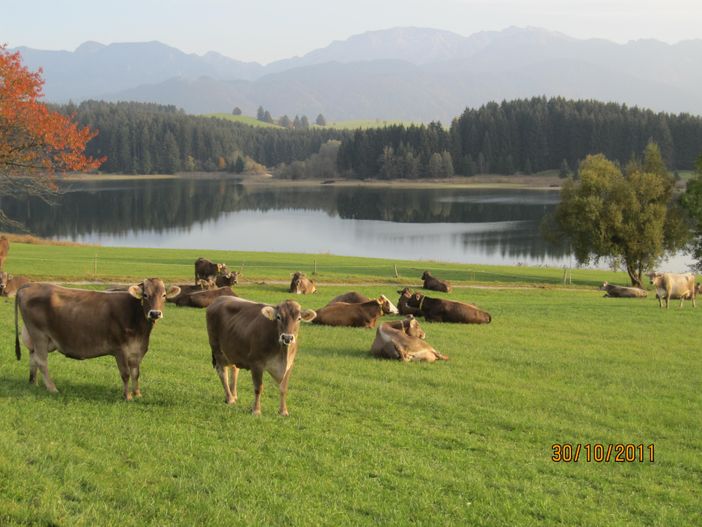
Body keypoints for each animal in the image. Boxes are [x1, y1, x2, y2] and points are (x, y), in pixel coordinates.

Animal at [14, 280, 182, 400]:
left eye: (164, 295)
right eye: (145, 295)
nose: (155, 313)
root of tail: (30, 284)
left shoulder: (137, 350)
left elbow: (136, 373)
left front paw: (138, 394)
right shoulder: (120, 350)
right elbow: (126, 374)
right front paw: (127, 396)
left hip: (33, 336)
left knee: (33, 357)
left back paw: (34, 383)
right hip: (39, 335)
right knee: (41, 361)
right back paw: (52, 388)